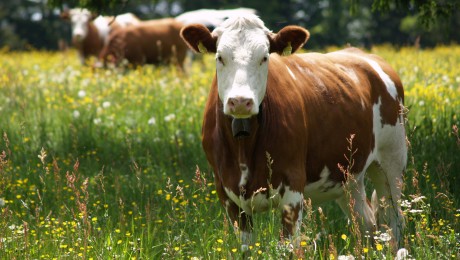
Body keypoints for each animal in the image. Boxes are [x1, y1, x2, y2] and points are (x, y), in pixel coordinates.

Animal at [180, 15, 406, 251]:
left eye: (264, 57)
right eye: (220, 57)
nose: (240, 101)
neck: (244, 147)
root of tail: (364, 55)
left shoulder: (293, 186)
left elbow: (288, 247)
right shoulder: (226, 192)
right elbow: (244, 248)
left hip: (392, 161)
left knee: (394, 218)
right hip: (348, 177)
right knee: (366, 222)